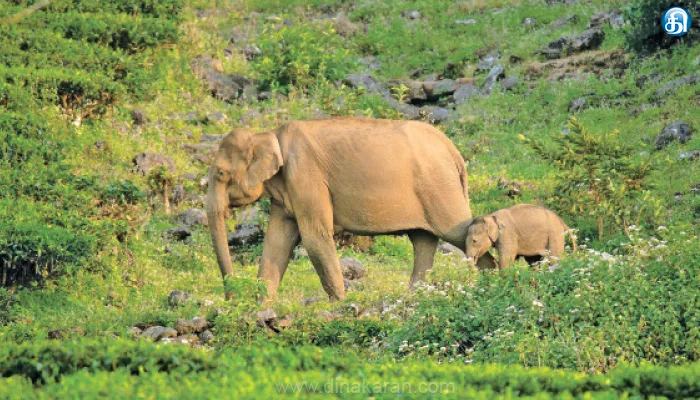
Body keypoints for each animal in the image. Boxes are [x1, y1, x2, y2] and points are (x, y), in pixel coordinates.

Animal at [208, 117, 486, 298]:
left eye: (220, 173)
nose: (232, 298)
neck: (269, 134)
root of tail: (453, 150)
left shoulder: (305, 177)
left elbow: (315, 238)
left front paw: (341, 306)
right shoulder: (286, 190)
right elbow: (277, 241)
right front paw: (261, 307)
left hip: (441, 189)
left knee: (459, 232)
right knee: (423, 241)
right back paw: (415, 297)